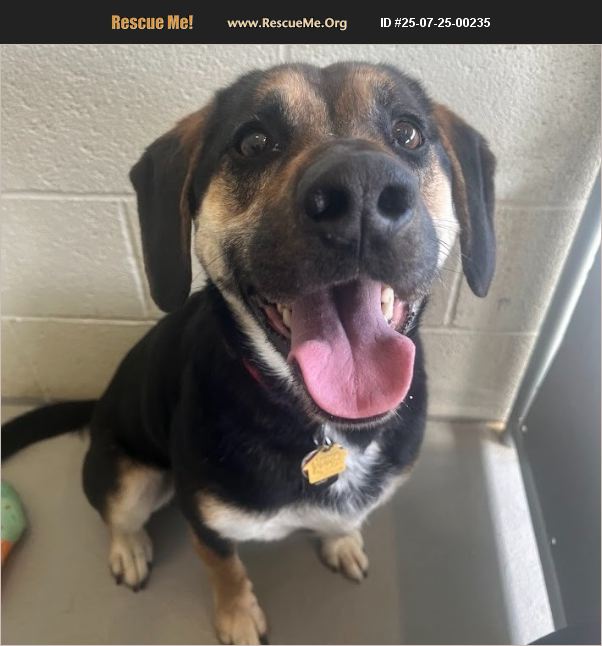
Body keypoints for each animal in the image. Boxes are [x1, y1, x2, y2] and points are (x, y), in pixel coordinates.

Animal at [2, 62, 495, 645]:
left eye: (409, 134)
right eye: (254, 141)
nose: (361, 190)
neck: (327, 428)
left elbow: (346, 518)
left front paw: (342, 541)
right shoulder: (206, 520)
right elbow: (227, 570)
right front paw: (238, 618)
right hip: (132, 476)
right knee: (116, 515)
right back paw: (130, 549)